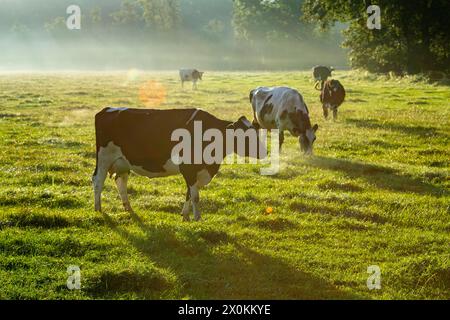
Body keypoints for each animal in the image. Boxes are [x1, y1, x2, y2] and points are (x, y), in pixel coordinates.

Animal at [93, 106, 266, 221]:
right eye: (245, 136)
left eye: (256, 133)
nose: (264, 152)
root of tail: (107, 109)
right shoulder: (188, 168)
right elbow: (195, 196)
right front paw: (197, 218)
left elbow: (189, 192)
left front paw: (185, 215)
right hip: (104, 157)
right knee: (98, 181)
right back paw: (98, 208)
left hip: (122, 162)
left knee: (121, 181)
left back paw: (128, 207)